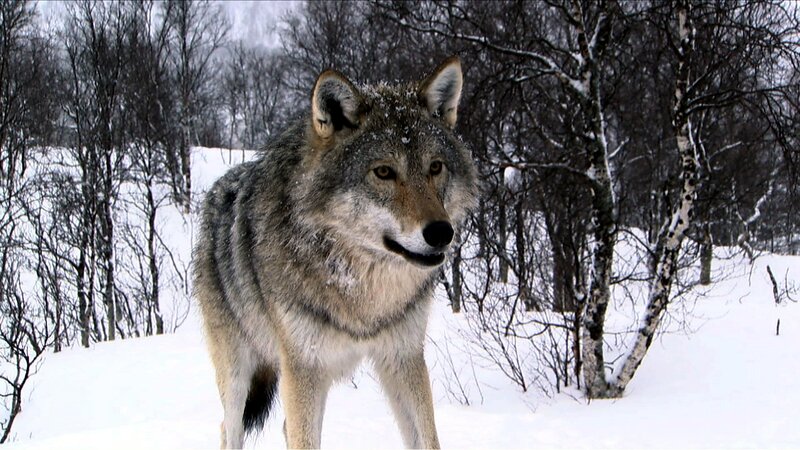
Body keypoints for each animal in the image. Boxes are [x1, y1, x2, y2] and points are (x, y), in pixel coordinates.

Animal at [193, 56, 477, 449]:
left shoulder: (403, 357)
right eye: (384, 172)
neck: (361, 289)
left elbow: (428, 439)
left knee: (284, 426)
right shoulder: (304, 367)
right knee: (229, 427)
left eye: (435, 167)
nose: (441, 232)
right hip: (239, 373)